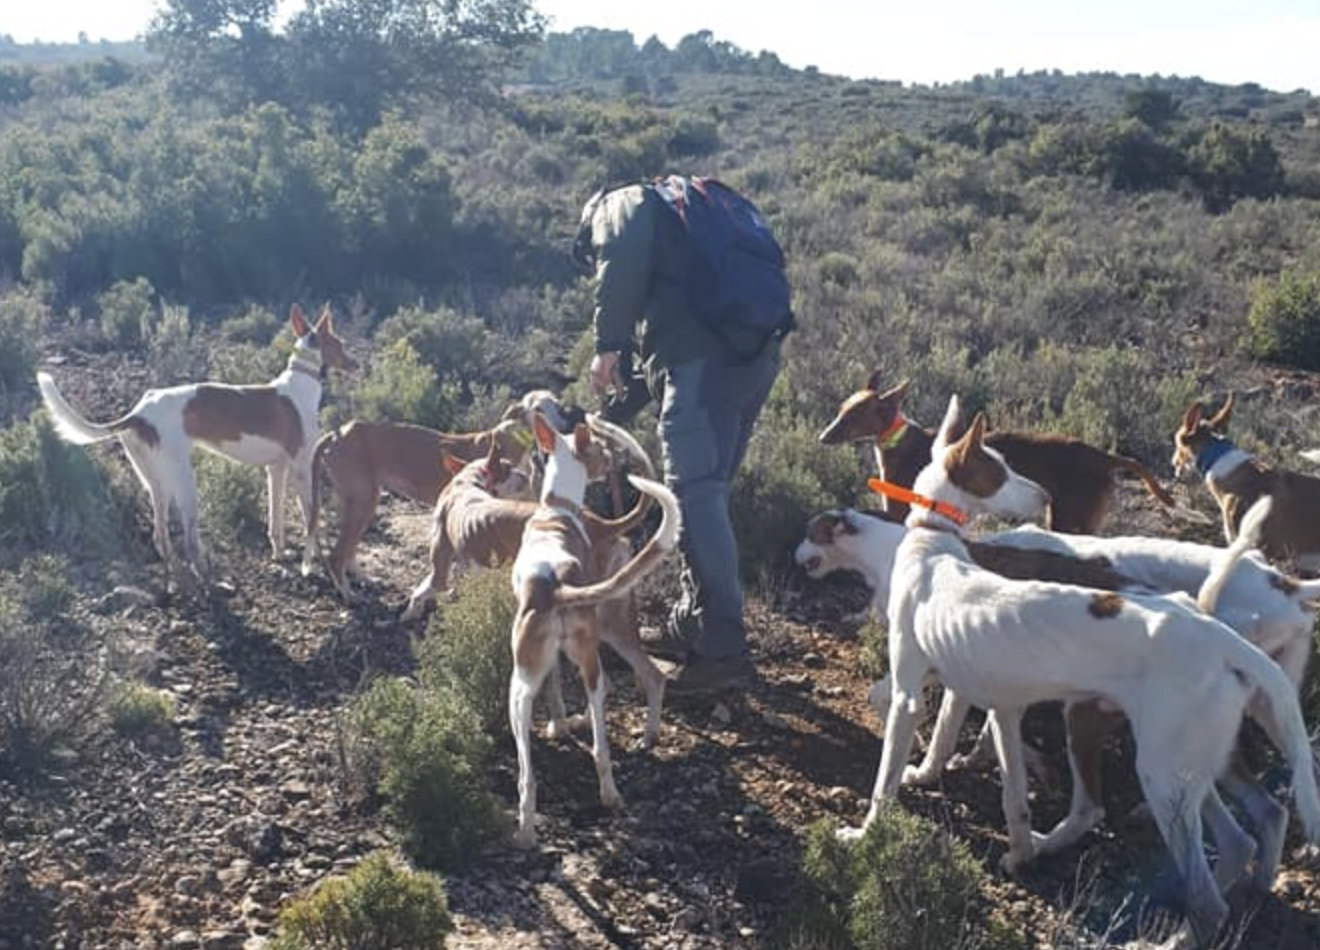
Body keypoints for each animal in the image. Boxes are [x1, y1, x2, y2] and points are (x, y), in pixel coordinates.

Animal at [36, 304, 356, 585]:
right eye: (340, 343)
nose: (357, 363)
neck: (300, 383)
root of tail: (138, 414)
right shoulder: (302, 469)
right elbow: (313, 521)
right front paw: (318, 565)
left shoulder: (276, 470)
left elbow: (276, 522)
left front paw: (279, 555)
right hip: (184, 482)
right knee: (189, 541)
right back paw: (206, 579)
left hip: (156, 483)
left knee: (161, 537)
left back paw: (181, 579)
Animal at [506, 411, 681, 849]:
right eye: (602, 452)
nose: (615, 463)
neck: (559, 507)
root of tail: (557, 586)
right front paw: (563, 724)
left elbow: (552, 692)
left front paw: (558, 725)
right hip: (595, 657)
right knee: (608, 735)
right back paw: (615, 784)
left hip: (519, 687)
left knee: (526, 775)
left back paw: (526, 828)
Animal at [797, 511, 1314, 891]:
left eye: (809, 533)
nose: (794, 554)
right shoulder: (963, 679)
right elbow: (940, 729)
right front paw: (940, 769)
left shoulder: (925, 680)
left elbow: (908, 722)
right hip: (1202, 734)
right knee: (1267, 810)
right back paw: (1256, 883)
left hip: (1100, 724)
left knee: (1098, 808)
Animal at [813, 372, 1198, 533]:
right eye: (840, 409)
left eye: (853, 416)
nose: (822, 437)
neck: (899, 441)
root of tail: (1104, 456)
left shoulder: (900, 513)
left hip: (1069, 519)